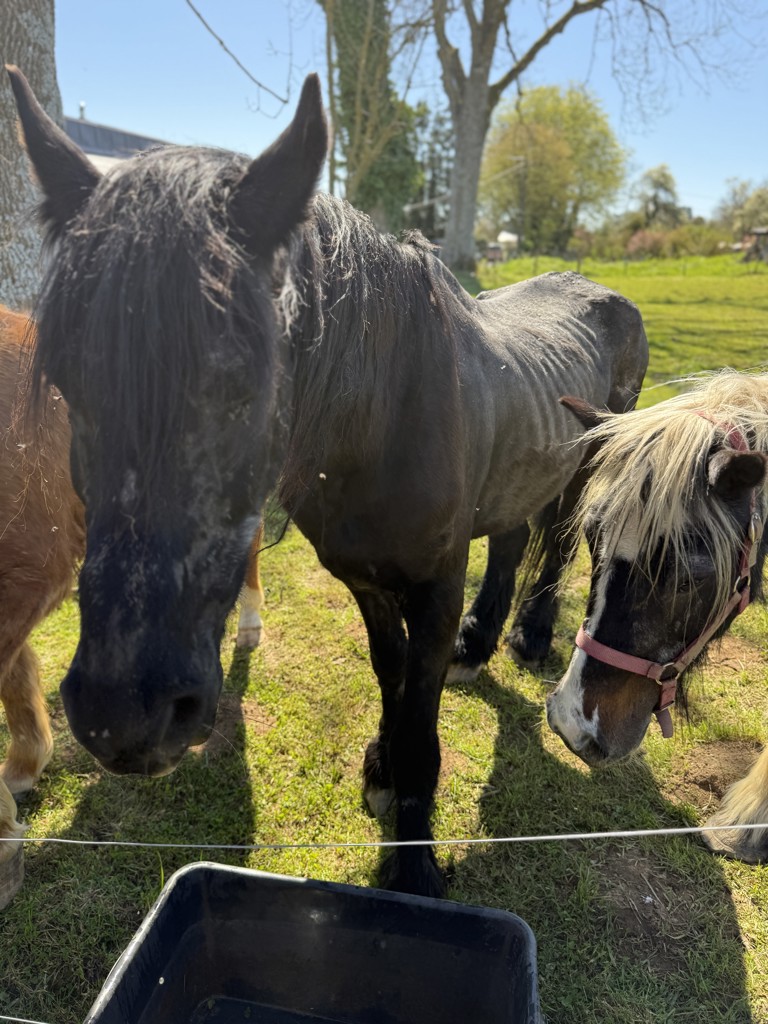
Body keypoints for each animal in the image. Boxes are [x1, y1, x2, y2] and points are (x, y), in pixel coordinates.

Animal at [8, 65, 649, 896]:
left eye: (245, 384)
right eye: (65, 381)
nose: (124, 718)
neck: (385, 421)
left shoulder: (435, 584)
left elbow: (420, 707)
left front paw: (414, 858)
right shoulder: (364, 580)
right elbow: (393, 672)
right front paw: (381, 766)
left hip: (587, 462)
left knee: (558, 542)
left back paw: (530, 637)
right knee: (510, 536)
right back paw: (479, 645)